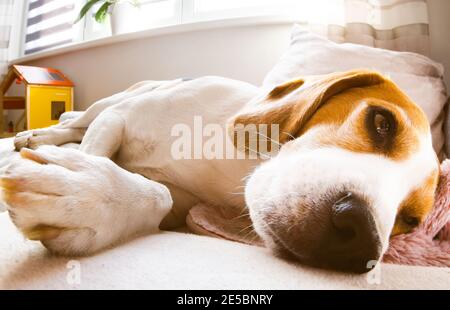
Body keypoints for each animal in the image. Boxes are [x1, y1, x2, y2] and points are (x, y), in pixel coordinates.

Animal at [1, 69, 438, 272]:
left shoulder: (179, 206)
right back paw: (34, 136)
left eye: (410, 221)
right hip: (109, 104)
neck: (238, 164)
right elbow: (95, 152)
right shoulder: (118, 118)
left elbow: (160, 195)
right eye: (381, 123)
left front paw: (91, 200)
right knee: (74, 124)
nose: (362, 238)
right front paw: (84, 183)